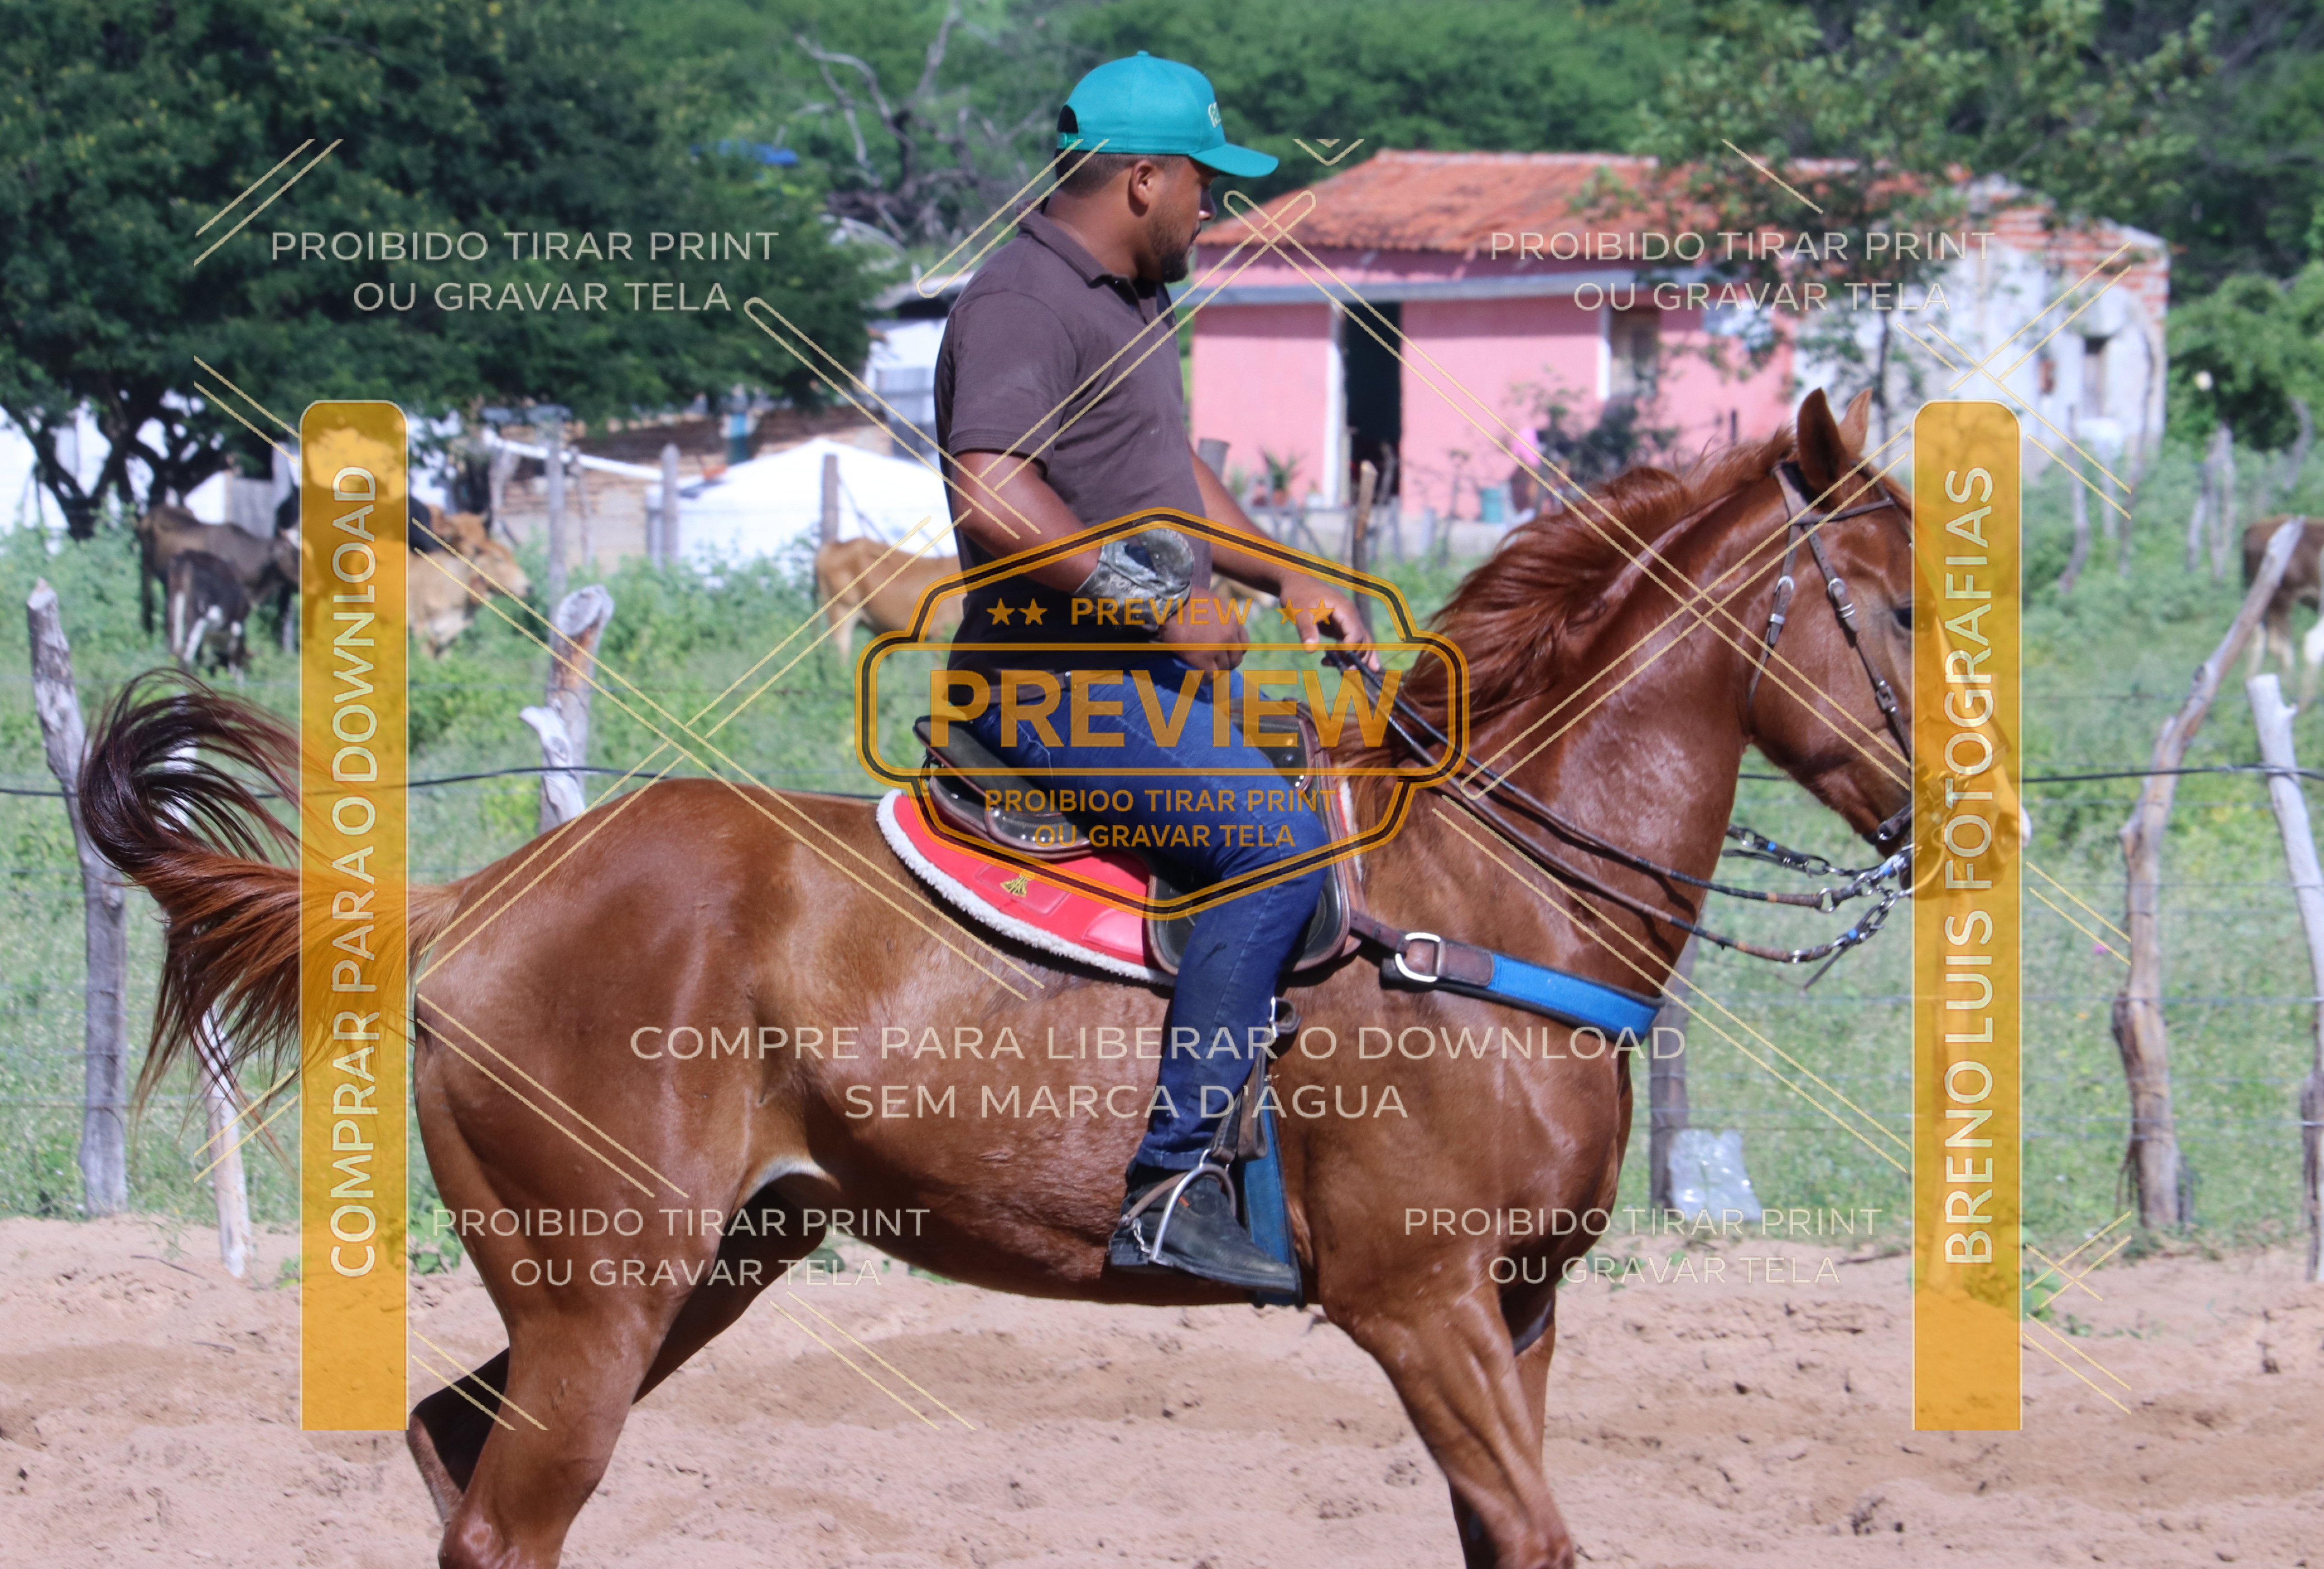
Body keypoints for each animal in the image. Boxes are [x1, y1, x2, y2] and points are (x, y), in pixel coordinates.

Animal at [164, 550, 252, 679]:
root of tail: (187, 556)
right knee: (186, 655)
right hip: (197, 616)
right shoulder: (238, 627)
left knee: (174, 649)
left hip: (174, 605)